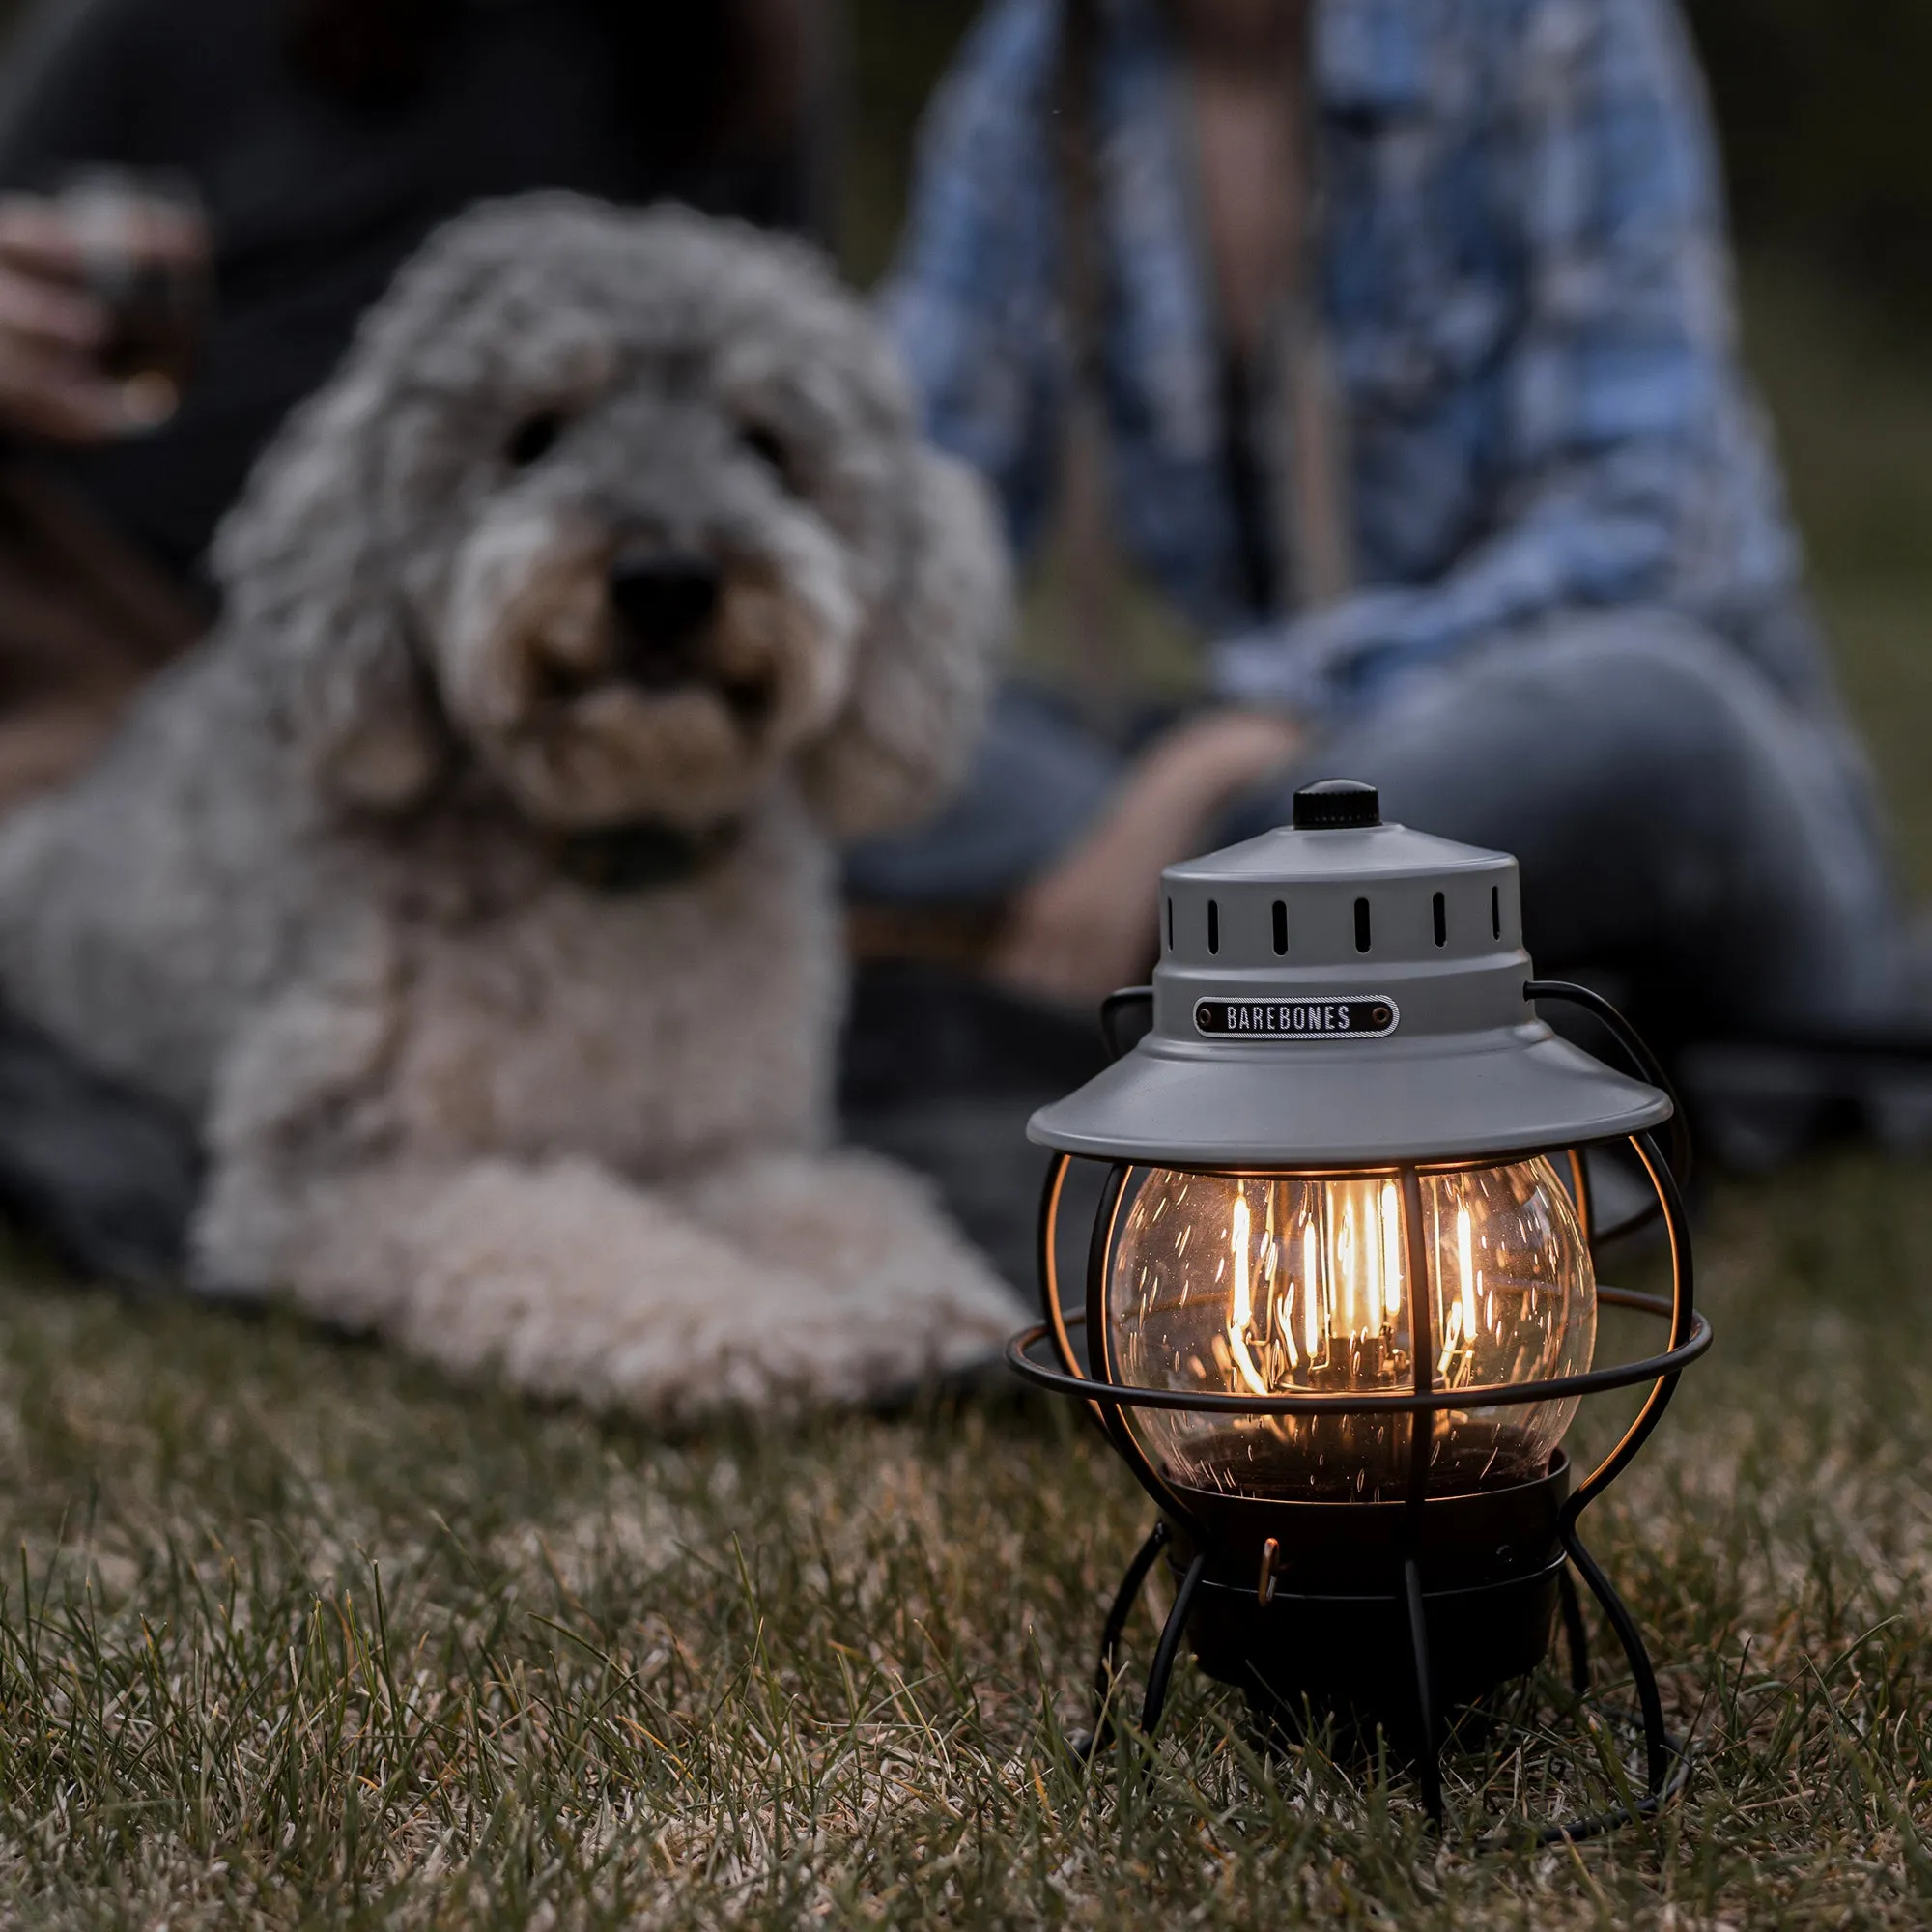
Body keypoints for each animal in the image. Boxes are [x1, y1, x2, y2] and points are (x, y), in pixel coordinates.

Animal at [0, 196, 1028, 1414]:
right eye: (535, 433)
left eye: (766, 444)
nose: (667, 580)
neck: (610, 857)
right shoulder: (340, 1172)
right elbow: (567, 1230)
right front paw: (758, 1324)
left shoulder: (718, 1143)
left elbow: (847, 1200)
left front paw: (920, 1298)